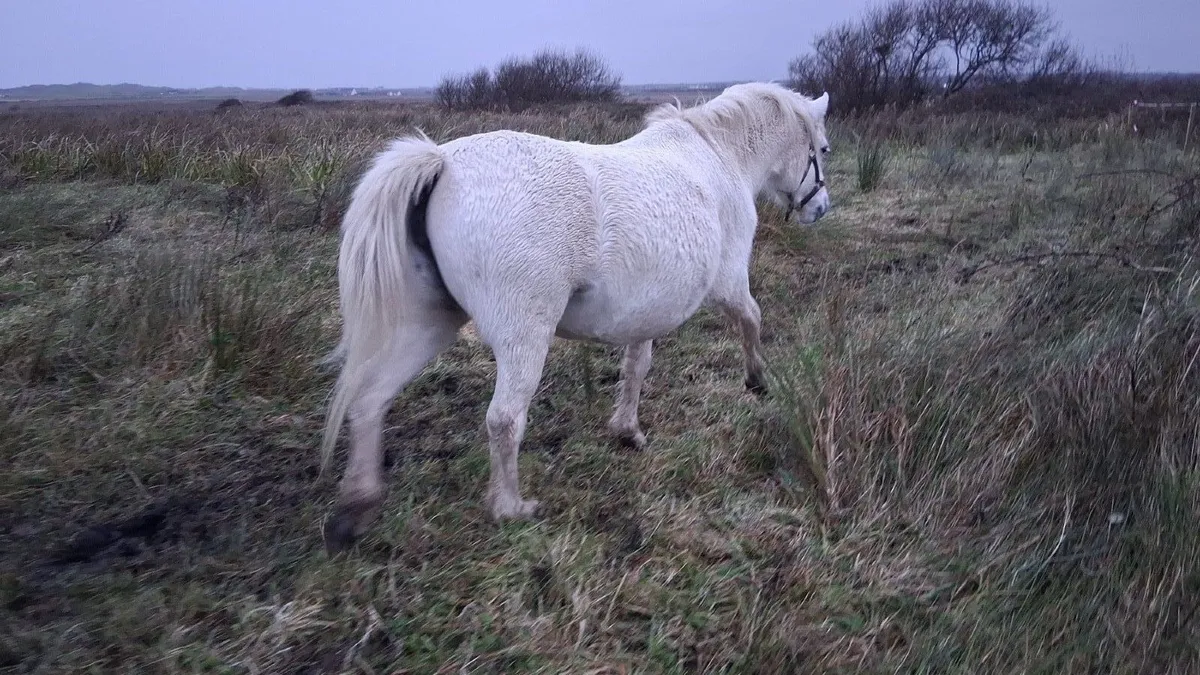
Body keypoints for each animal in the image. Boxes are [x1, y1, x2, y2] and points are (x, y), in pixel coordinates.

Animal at [318, 81, 833, 553]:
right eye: (823, 149)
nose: (821, 208)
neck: (717, 157)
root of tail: (442, 161)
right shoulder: (728, 283)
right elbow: (752, 320)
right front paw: (757, 379)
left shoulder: (648, 309)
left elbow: (636, 367)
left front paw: (626, 430)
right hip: (523, 337)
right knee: (503, 419)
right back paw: (510, 508)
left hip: (427, 326)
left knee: (369, 402)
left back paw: (356, 507)